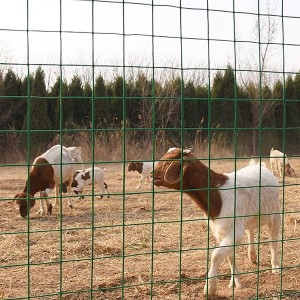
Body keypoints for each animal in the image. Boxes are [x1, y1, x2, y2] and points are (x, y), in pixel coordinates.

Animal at [152, 148, 282, 298]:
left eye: (167, 163)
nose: (151, 174)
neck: (216, 195)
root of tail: (260, 166)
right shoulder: (220, 232)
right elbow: (229, 256)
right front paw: (235, 282)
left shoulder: (233, 231)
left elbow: (216, 255)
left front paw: (210, 289)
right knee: (251, 230)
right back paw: (252, 255)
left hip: (275, 212)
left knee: (273, 238)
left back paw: (276, 266)